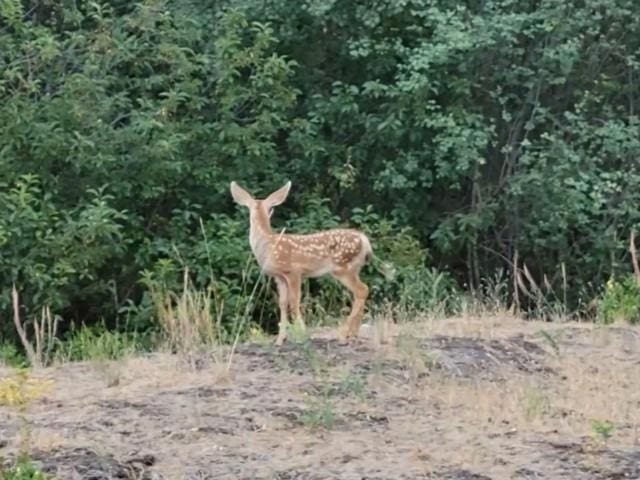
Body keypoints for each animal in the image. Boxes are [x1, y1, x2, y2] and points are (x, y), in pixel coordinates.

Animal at [230, 180, 372, 344]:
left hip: (342, 267)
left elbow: (294, 301)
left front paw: (303, 333)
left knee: (362, 290)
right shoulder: (279, 276)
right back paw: (353, 334)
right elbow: (282, 303)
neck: (269, 245)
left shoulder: (294, 271)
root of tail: (364, 240)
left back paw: (343, 335)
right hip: (354, 268)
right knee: (360, 291)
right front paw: (280, 339)